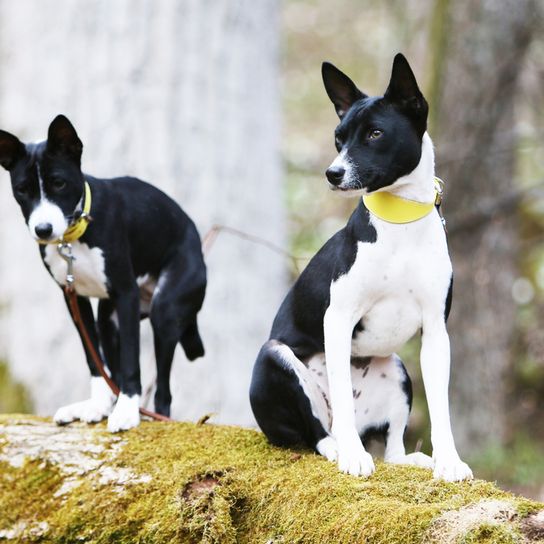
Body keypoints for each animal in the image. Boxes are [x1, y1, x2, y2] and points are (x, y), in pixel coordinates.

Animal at [0, 116, 207, 434]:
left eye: (59, 183)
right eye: (22, 190)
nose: (43, 230)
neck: (74, 235)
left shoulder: (126, 294)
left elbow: (131, 360)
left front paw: (127, 410)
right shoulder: (74, 298)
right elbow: (94, 360)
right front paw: (99, 405)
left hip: (165, 311)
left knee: (163, 393)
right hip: (110, 320)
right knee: (113, 368)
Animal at [250, 54, 472, 480]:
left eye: (374, 134)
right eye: (338, 138)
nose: (332, 173)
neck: (400, 223)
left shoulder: (436, 332)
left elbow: (441, 409)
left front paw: (449, 461)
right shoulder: (337, 319)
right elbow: (338, 395)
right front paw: (353, 455)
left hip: (399, 369)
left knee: (392, 446)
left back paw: (411, 458)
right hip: (276, 357)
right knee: (319, 430)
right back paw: (340, 447)